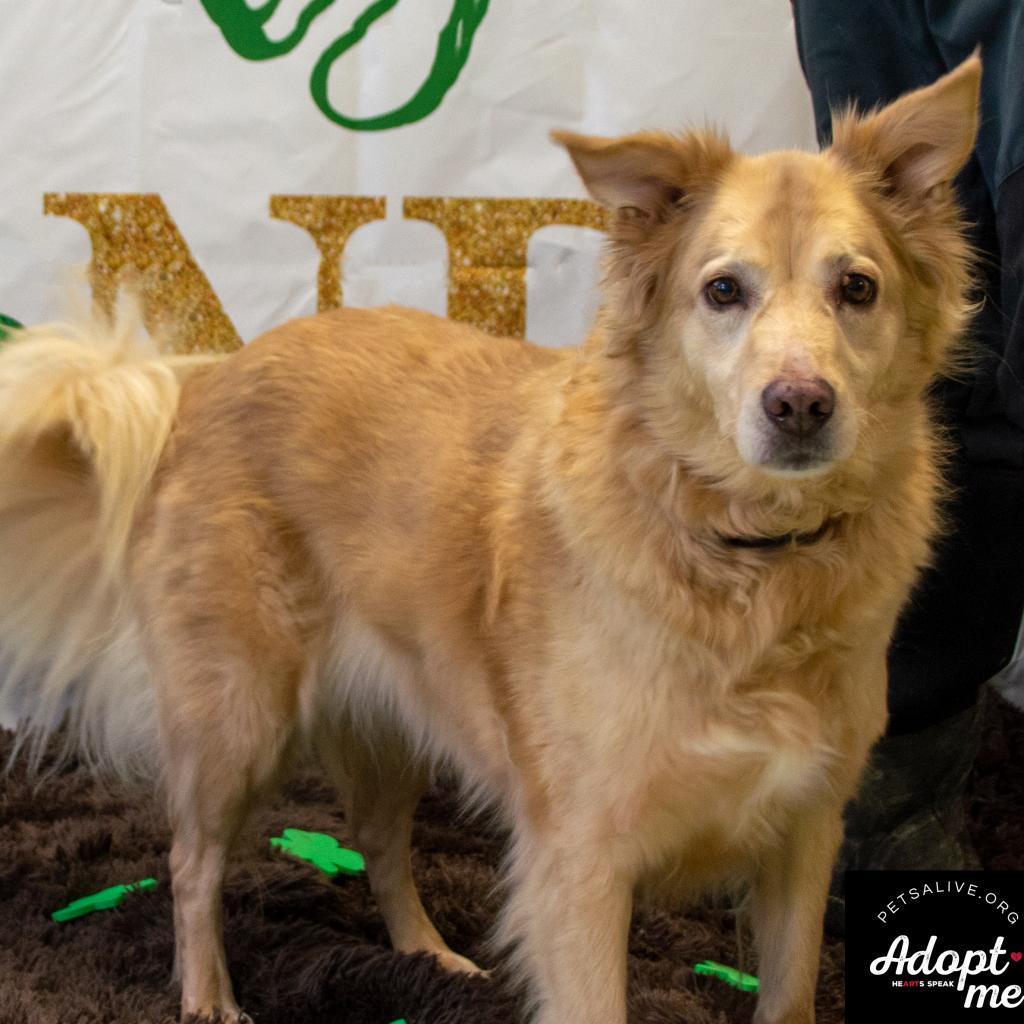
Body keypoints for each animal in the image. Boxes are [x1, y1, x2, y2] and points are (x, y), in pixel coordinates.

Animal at [0, 58, 974, 1024]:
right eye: (724, 290)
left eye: (858, 288)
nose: (801, 404)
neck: (747, 552)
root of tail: (202, 383)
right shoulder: (581, 864)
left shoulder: (804, 838)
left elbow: (790, 993)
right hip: (234, 724)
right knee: (192, 863)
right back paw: (209, 998)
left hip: (392, 715)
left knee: (379, 845)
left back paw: (430, 960)